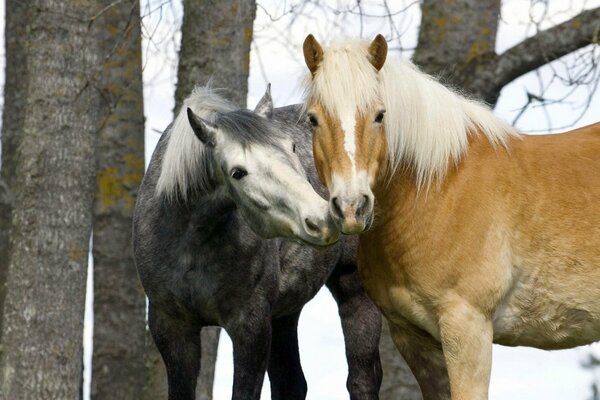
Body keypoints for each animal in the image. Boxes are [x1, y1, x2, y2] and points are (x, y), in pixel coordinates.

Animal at [133, 85, 382, 400]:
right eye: (238, 172)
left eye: (292, 148)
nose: (322, 219)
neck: (192, 241)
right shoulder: (172, 328)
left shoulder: (250, 326)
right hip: (285, 311)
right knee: (291, 382)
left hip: (354, 290)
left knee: (362, 379)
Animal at [302, 34, 600, 400]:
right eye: (313, 119)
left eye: (379, 115)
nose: (351, 207)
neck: (439, 188)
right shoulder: (414, 339)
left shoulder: (467, 327)